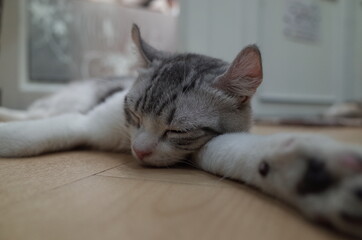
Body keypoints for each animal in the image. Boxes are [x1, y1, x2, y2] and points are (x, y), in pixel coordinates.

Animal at [0, 23, 362, 237]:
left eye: (177, 131)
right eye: (133, 113)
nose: (139, 150)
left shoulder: (211, 144)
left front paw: (313, 175)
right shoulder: (86, 121)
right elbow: (35, 134)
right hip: (66, 101)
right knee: (35, 112)